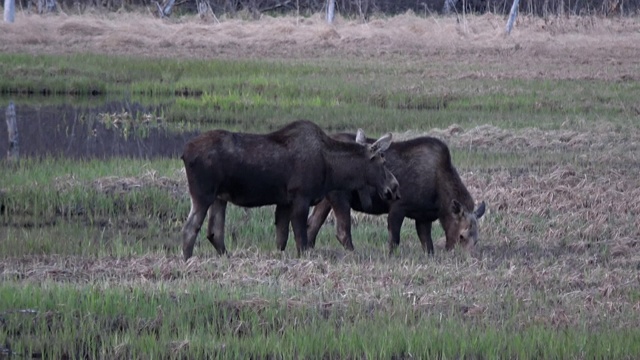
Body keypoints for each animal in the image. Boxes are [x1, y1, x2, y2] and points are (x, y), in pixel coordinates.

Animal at [181, 119, 400, 260]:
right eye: (383, 161)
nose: (394, 187)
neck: (332, 169)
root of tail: (184, 153)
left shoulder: (284, 202)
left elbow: (281, 239)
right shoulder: (300, 197)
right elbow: (301, 241)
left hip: (219, 197)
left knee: (214, 232)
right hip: (203, 195)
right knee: (190, 229)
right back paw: (188, 261)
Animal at [308, 134, 488, 255]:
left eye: (477, 239)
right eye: (462, 236)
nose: (467, 259)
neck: (439, 202)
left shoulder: (423, 217)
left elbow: (428, 245)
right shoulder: (398, 206)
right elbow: (394, 240)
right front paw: (390, 256)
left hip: (326, 199)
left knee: (312, 224)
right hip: (340, 197)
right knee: (342, 231)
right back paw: (353, 253)